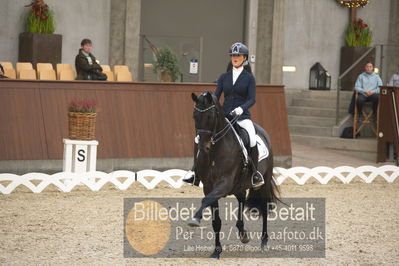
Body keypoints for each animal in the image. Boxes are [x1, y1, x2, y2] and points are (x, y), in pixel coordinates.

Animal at [189, 91, 280, 258]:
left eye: (210, 116)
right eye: (195, 116)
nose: (203, 147)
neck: (215, 151)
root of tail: (262, 131)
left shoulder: (224, 184)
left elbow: (206, 200)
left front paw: (195, 219)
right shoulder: (209, 186)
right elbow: (216, 221)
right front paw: (216, 251)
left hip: (263, 181)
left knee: (264, 208)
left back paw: (264, 242)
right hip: (239, 185)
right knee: (242, 199)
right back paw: (243, 233)